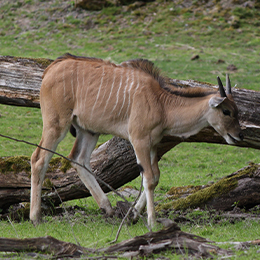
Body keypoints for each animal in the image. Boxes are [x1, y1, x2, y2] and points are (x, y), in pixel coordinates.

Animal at [30, 53, 244, 228]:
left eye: (237, 111)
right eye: (226, 111)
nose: (239, 135)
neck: (161, 103)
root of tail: (52, 68)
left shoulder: (153, 144)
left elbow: (155, 177)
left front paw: (133, 215)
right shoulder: (139, 140)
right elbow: (148, 178)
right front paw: (152, 221)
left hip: (89, 130)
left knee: (78, 159)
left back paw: (108, 208)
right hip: (56, 125)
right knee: (39, 159)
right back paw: (35, 217)